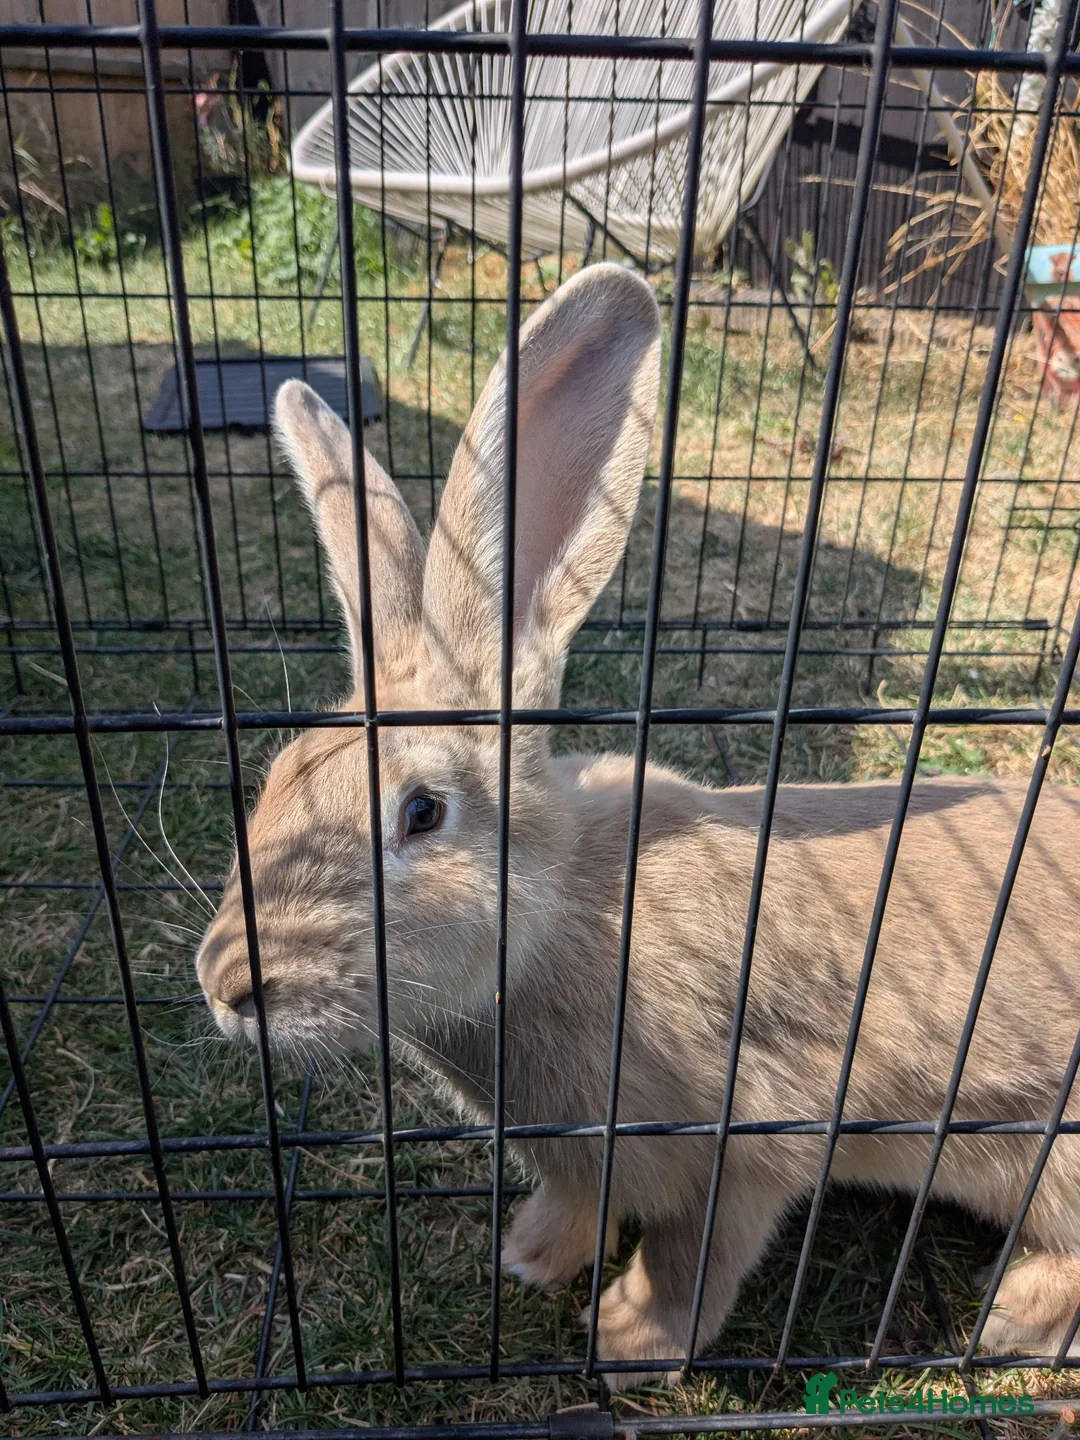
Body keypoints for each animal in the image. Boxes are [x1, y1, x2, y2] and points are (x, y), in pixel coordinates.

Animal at [197, 262, 1080, 1385]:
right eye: (275, 777)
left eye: (423, 812)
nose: (226, 986)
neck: (557, 918)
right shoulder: (588, 1158)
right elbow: (579, 1201)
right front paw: (531, 1256)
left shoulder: (749, 1140)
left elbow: (693, 1254)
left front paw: (626, 1341)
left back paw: (1016, 1316)